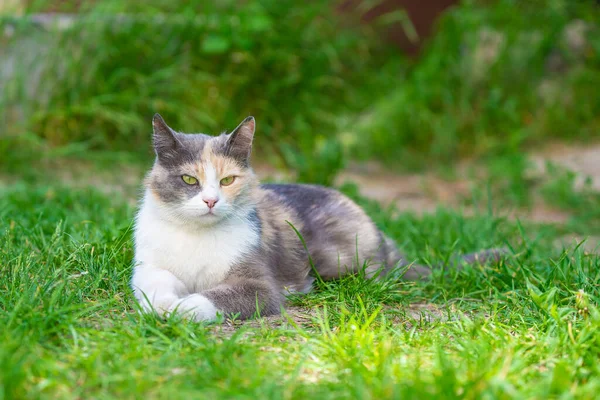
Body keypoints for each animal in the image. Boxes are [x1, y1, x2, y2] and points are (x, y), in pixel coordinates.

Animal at [132, 114, 506, 320]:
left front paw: (180, 309)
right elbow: (152, 283)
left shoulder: (259, 285)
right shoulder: (149, 263)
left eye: (227, 180)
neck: (196, 235)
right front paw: (162, 304)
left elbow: (214, 296)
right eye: (189, 180)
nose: (210, 200)